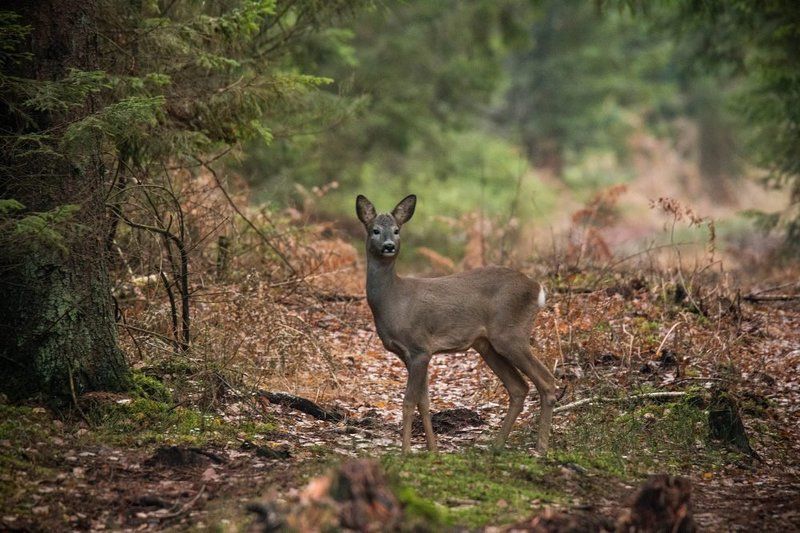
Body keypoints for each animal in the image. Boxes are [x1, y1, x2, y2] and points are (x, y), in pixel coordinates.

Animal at [358, 193, 556, 450]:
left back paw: (540, 448)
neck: (394, 300)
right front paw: (432, 450)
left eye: (396, 230)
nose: (389, 246)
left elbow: (409, 402)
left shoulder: (419, 347)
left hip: (510, 334)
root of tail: (537, 288)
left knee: (547, 381)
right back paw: (496, 446)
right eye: (375, 230)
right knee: (519, 387)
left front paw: (406, 451)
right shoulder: (410, 354)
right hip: (487, 344)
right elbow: (424, 402)